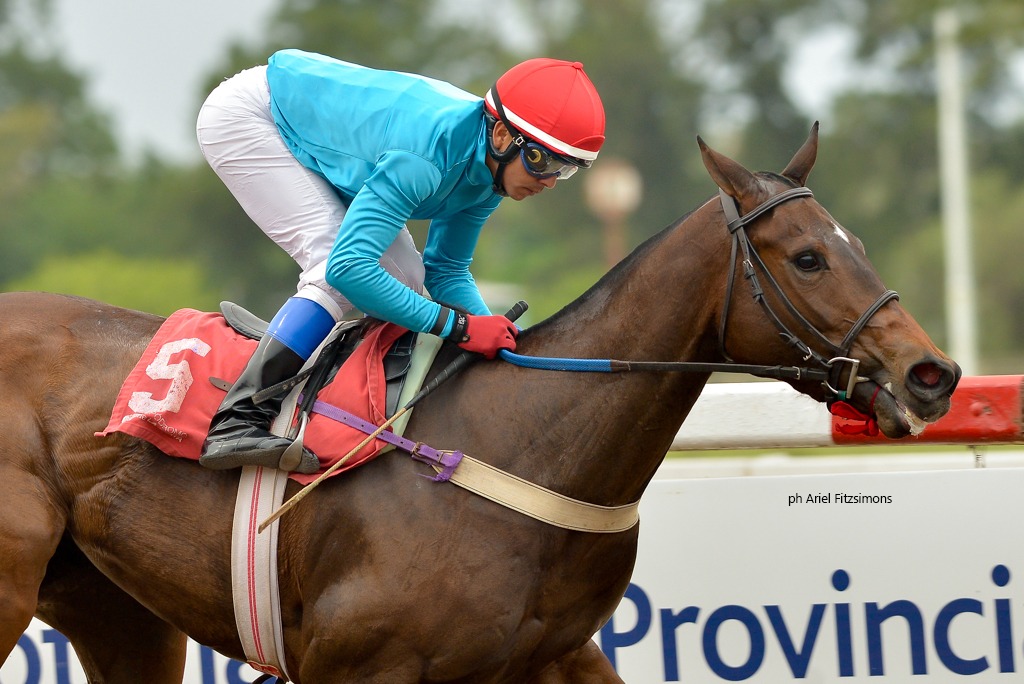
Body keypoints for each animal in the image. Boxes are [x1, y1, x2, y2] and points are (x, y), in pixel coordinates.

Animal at [0, 124, 959, 683]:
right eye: (808, 257)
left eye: (856, 242)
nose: (933, 373)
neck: (524, 445)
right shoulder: (355, 667)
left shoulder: (555, 657)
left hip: (114, 609)